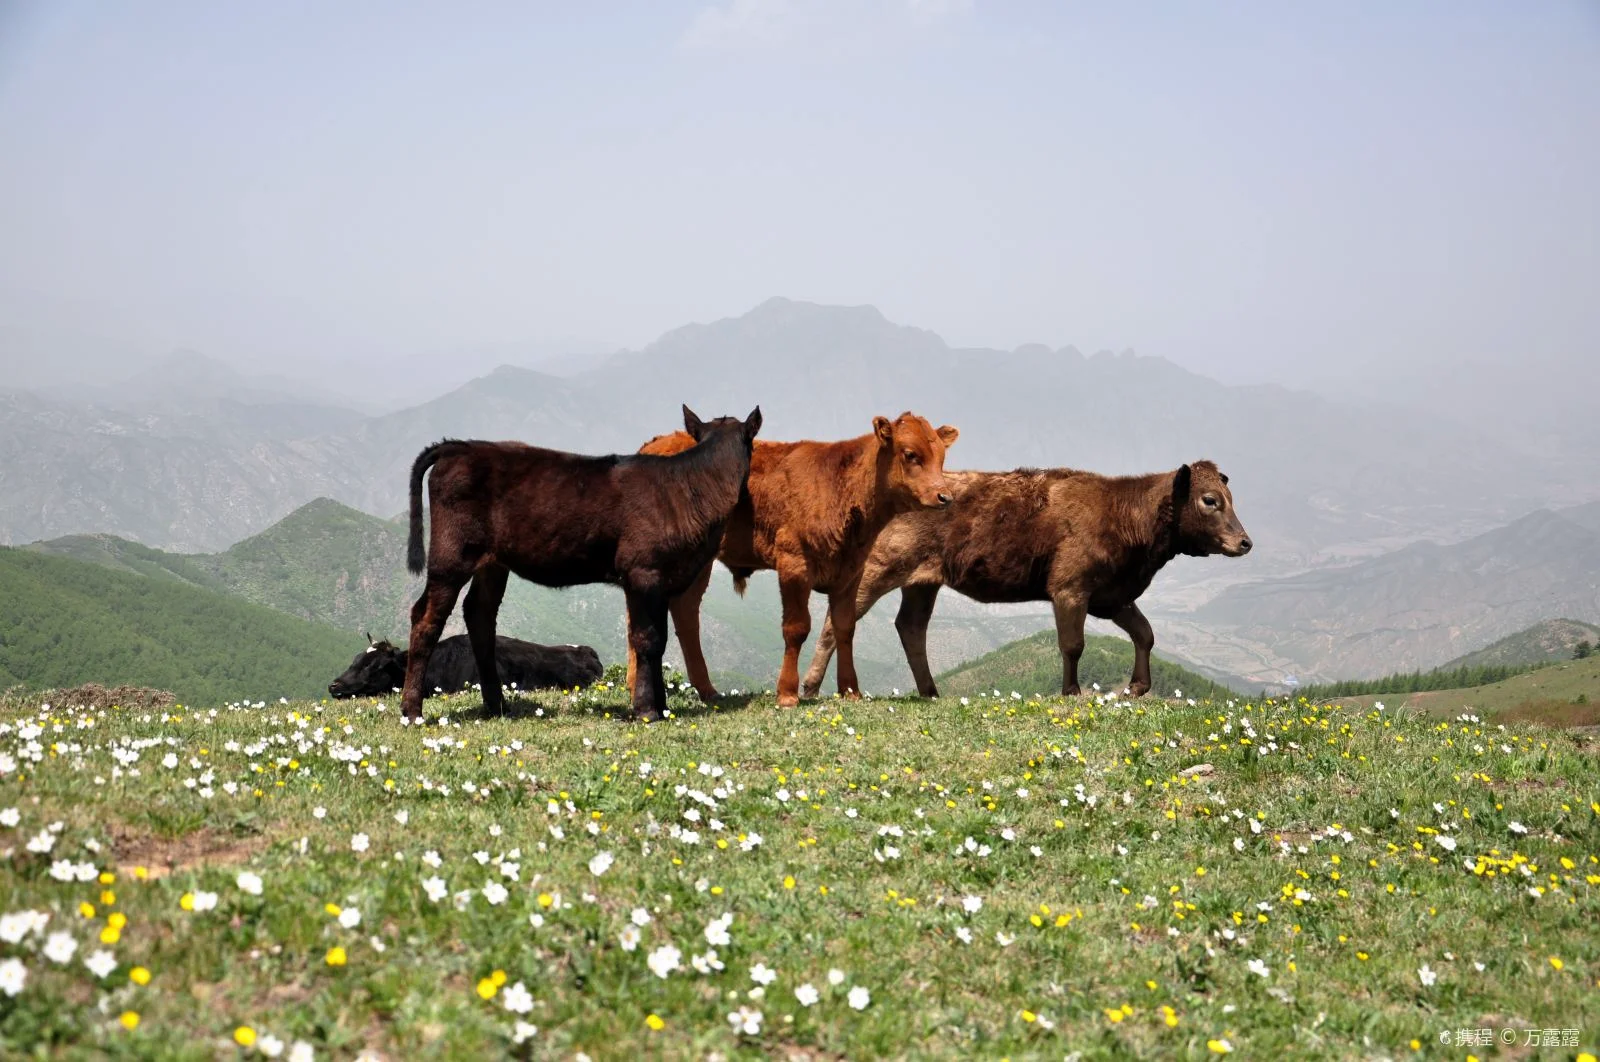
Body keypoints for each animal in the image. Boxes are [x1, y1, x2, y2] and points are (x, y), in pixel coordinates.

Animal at [403, 406, 758, 722]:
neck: (689, 488)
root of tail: (457, 447)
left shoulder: (664, 580)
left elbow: (659, 641)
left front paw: (661, 705)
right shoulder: (642, 572)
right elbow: (646, 639)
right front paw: (647, 710)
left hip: (492, 562)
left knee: (479, 614)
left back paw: (498, 706)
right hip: (451, 555)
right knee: (425, 617)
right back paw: (412, 710)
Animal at [633, 412, 960, 703]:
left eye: (942, 457)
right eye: (910, 454)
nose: (945, 497)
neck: (840, 485)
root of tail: (658, 442)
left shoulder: (852, 570)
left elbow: (844, 627)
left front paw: (850, 690)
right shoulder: (794, 563)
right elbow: (797, 628)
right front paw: (788, 693)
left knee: (685, 612)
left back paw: (704, 690)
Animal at [800, 460, 1248, 700]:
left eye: (1230, 498)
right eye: (1210, 500)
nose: (1245, 542)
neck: (1124, 516)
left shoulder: (1113, 596)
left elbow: (1145, 633)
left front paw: (1136, 687)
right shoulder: (1070, 588)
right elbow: (1073, 644)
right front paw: (1072, 692)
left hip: (922, 581)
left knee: (911, 628)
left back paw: (930, 691)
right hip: (878, 568)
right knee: (840, 620)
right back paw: (810, 686)